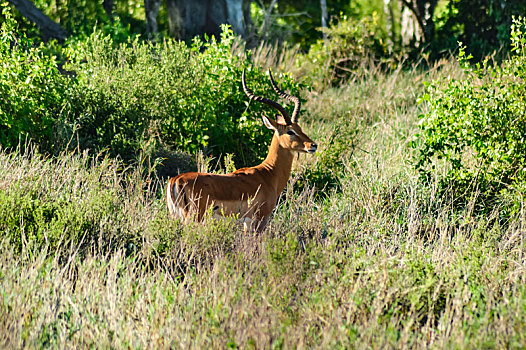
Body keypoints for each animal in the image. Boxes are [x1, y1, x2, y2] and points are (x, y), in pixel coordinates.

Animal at [167, 68, 320, 232]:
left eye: (299, 128)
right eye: (290, 131)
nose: (313, 145)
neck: (268, 174)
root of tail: (176, 180)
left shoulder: (247, 222)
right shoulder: (261, 219)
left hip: (175, 217)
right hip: (193, 218)